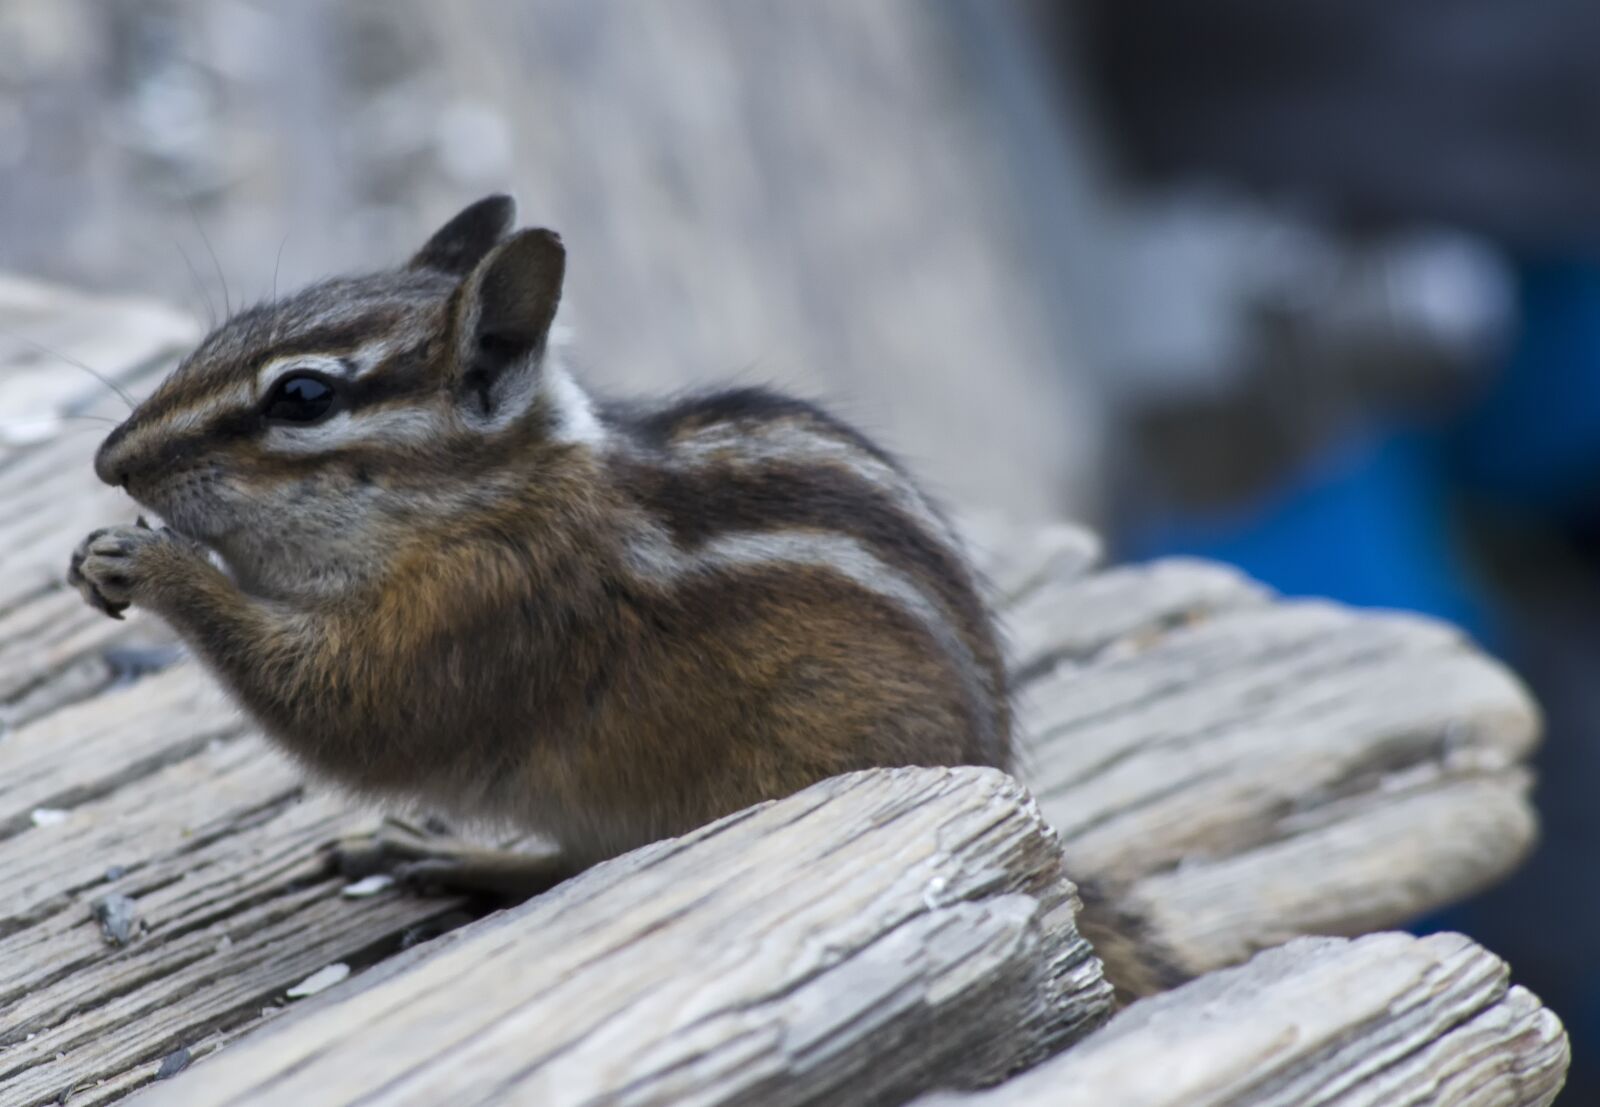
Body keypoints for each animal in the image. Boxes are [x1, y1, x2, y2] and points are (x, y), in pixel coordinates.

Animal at [67, 195, 1012, 894]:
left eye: (302, 396)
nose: (110, 460)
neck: (489, 499)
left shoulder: (483, 609)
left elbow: (341, 705)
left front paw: (151, 564)